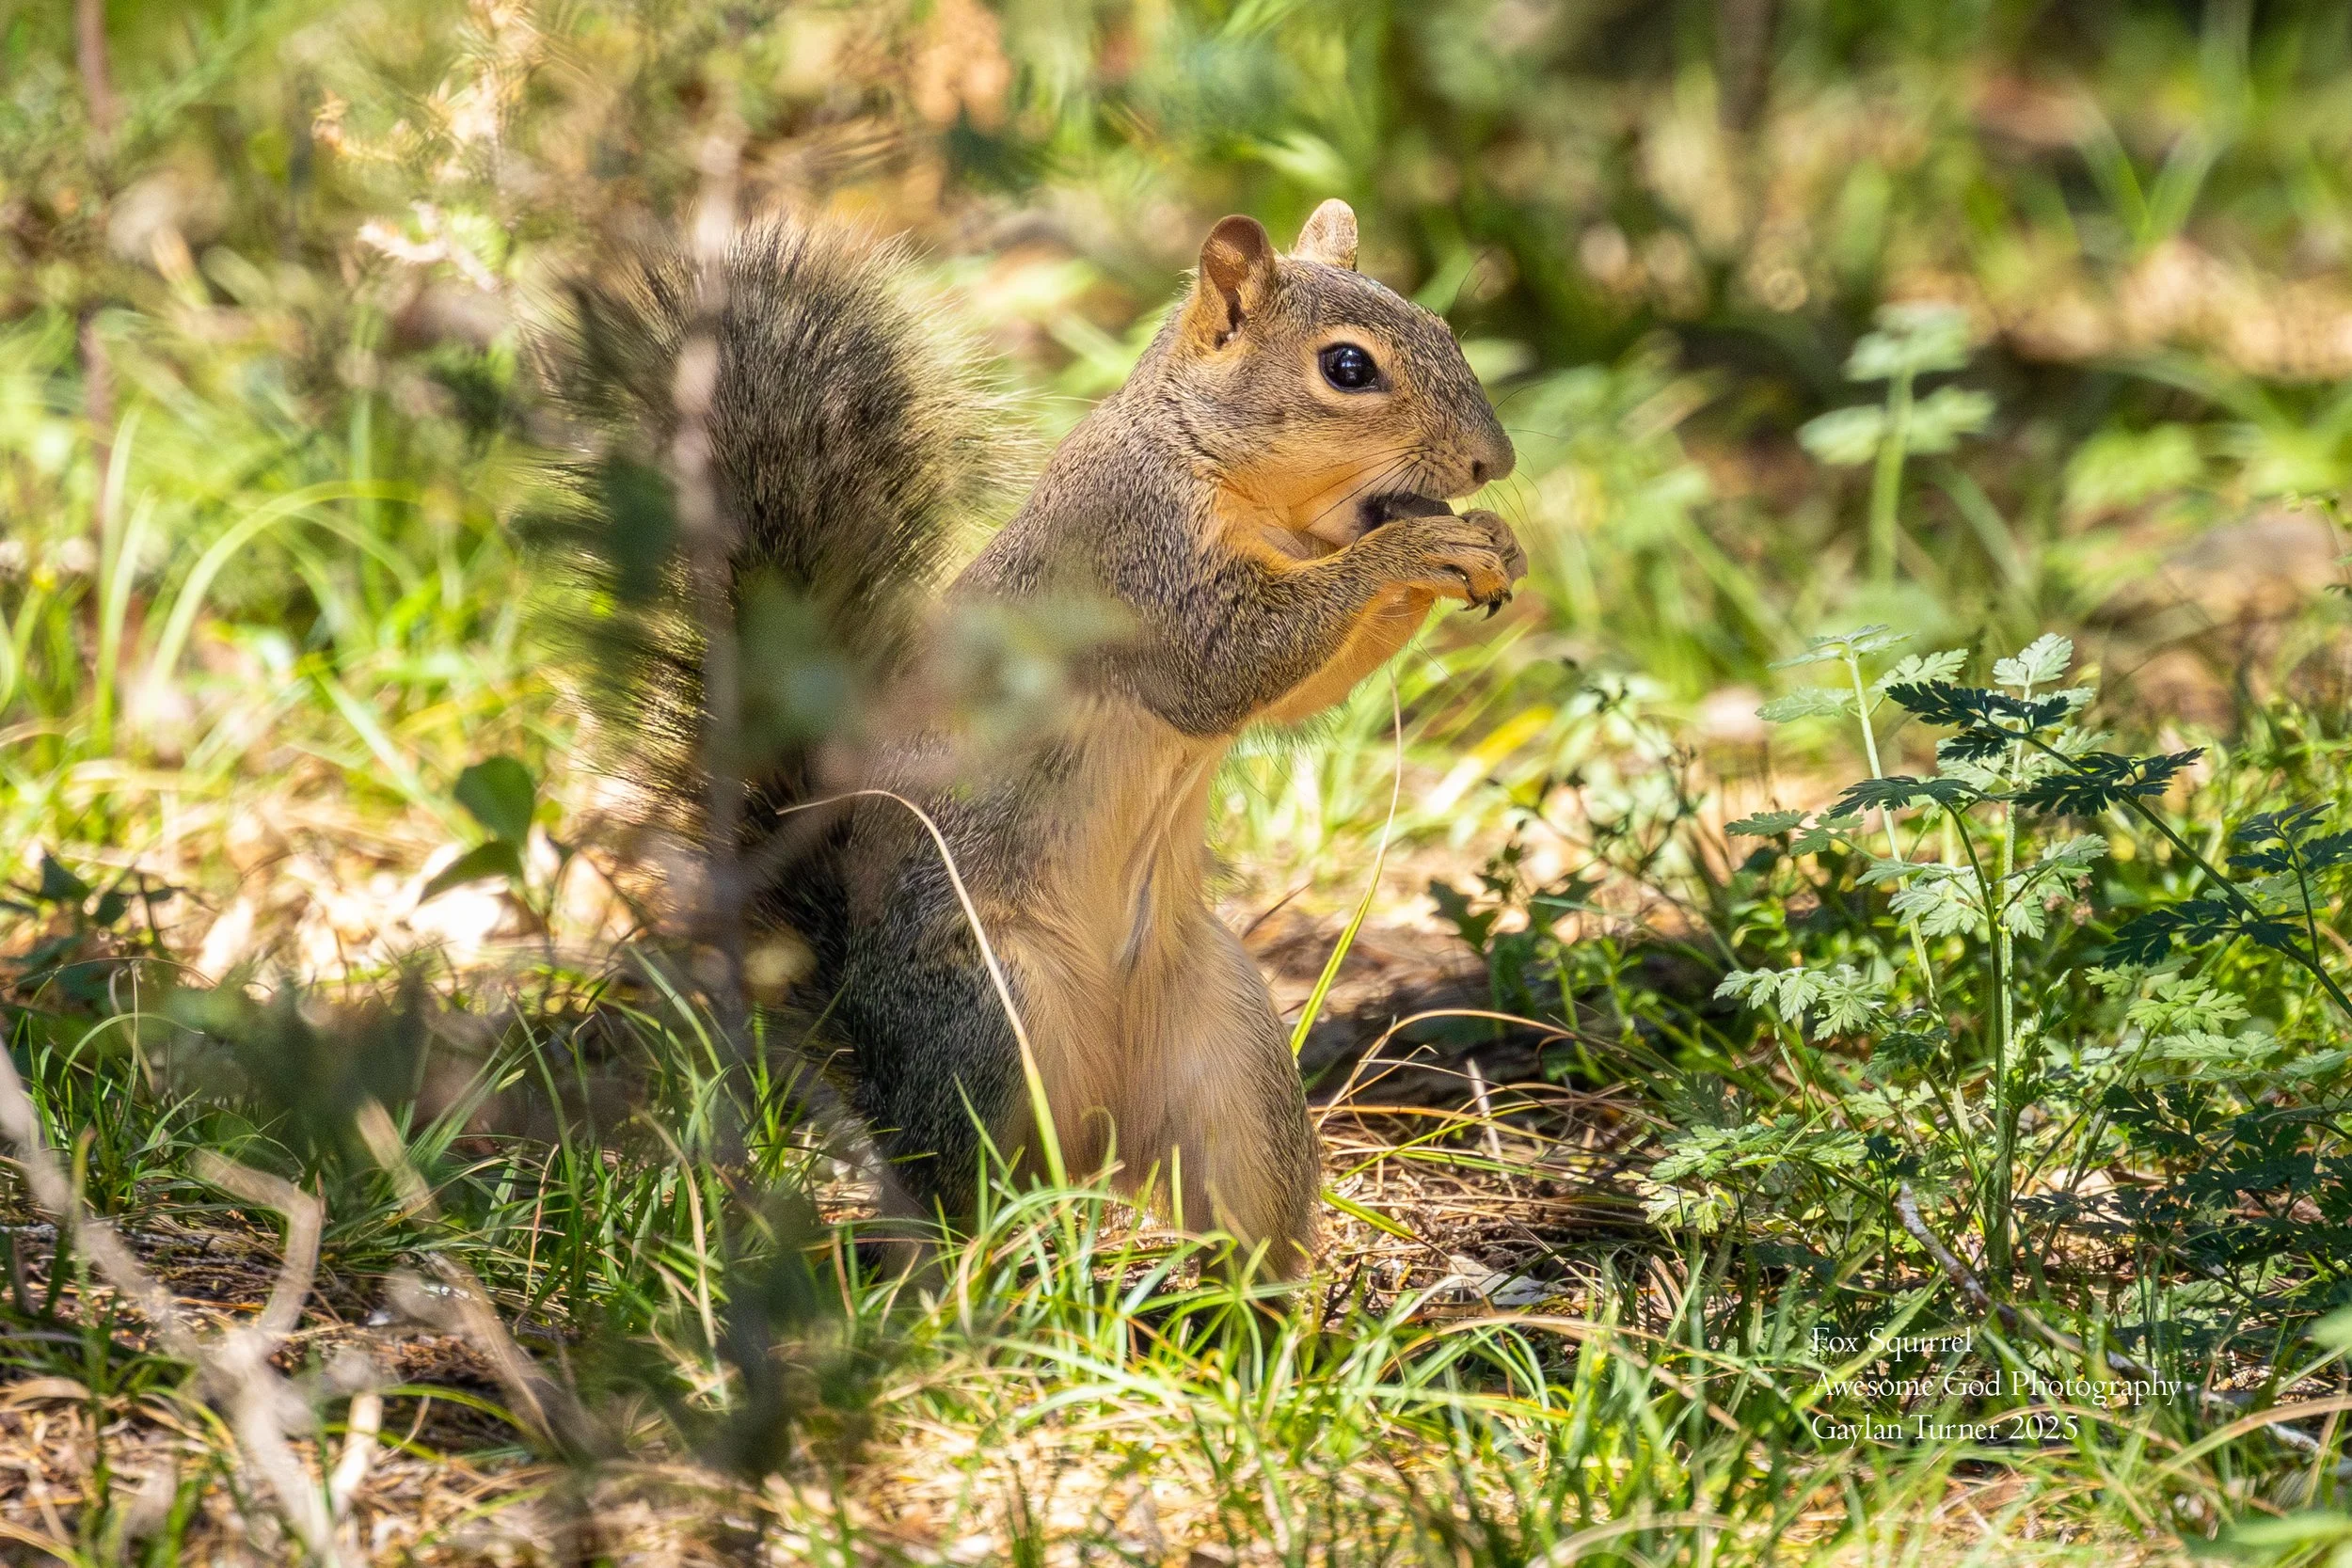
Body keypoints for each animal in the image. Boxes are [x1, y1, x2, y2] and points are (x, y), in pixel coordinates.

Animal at [558, 199, 1522, 1278]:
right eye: (1348, 368)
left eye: (1440, 326)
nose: (1493, 463)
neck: (1215, 461)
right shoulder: (1143, 562)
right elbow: (1229, 667)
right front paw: (1416, 547)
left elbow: (1288, 692)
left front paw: (1487, 545)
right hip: (990, 1021)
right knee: (959, 1196)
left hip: (1233, 1057)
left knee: (1237, 1217)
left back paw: (1256, 1310)